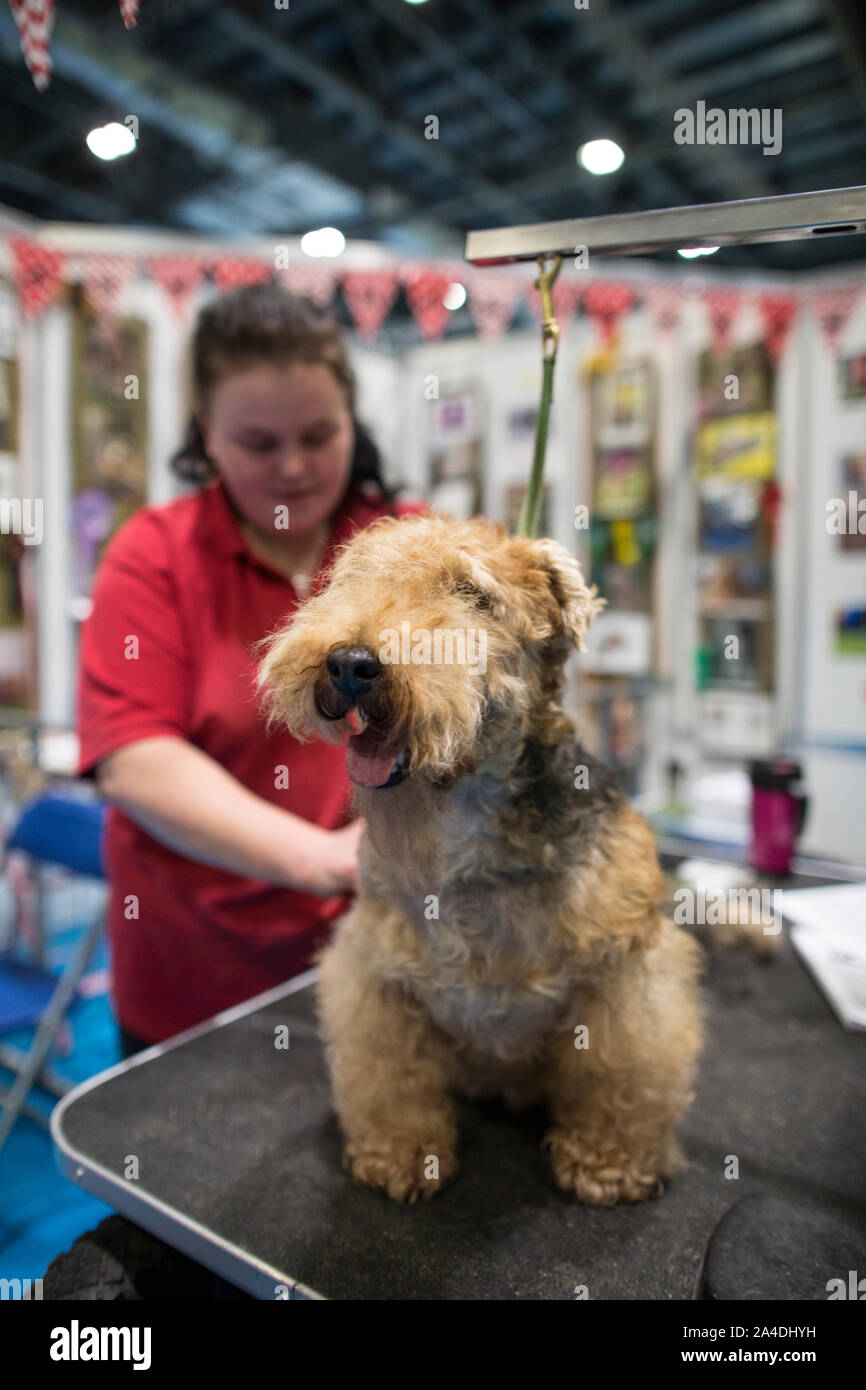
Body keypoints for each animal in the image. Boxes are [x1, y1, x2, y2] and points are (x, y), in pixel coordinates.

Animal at [257, 511, 706, 1206]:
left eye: (473, 594)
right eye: (350, 578)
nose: (351, 664)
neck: (464, 829)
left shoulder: (627, 969)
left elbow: (621, 1073)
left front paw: (609, 1161)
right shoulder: (376, 973)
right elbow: (391, 1078)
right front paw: (401, 1154)